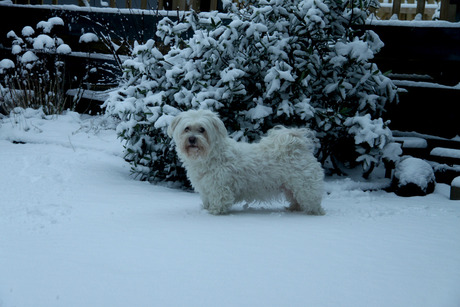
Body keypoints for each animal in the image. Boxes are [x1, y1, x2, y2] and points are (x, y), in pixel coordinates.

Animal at [167, 110, 326, 217]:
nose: (192, 139)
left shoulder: (219, 187)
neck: (209, 155)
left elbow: (220, 201)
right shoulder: (206, 187)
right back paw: (293, 208)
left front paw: (214, 212)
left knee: (311, 200)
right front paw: (207, 209)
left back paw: (315, 213)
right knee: (296, 199)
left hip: (305, 186)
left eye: (202, 129)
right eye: (187, 128)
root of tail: (297, 145)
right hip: (290, 186)